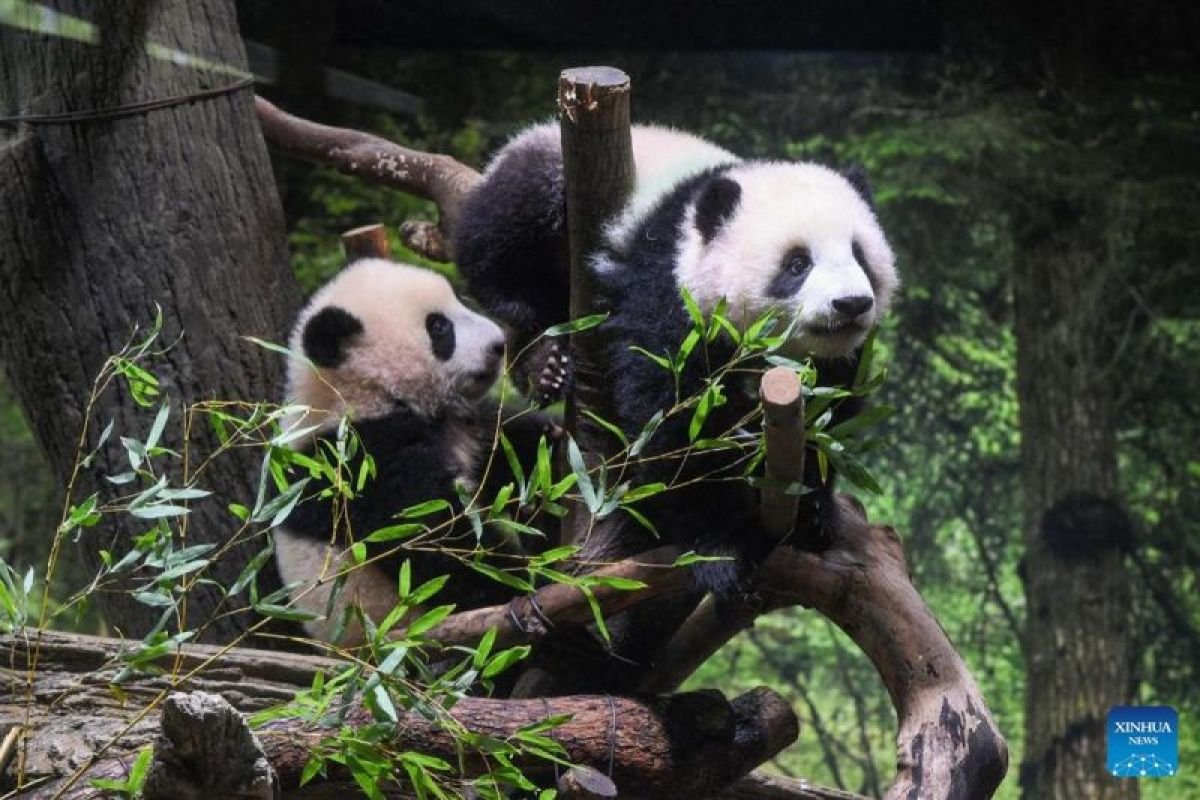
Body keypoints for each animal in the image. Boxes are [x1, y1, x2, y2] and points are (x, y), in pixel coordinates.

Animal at [273, 258, 555, 646]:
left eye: (459, 300)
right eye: (439, 327)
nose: (499, 344)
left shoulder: (463, 427)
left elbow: (509, 451)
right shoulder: (362, 463)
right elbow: (434, 541)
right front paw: (527, 585)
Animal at [453, 122, 897, 599]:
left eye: (860, 255)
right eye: (797, 264)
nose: (851, 304)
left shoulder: (835, 362)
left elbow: (830, 415)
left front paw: (812, 512)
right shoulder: (666, 286)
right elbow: (673, 419)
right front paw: (720, 546)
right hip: (546, 169)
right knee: (502, 226)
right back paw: (537, 345)